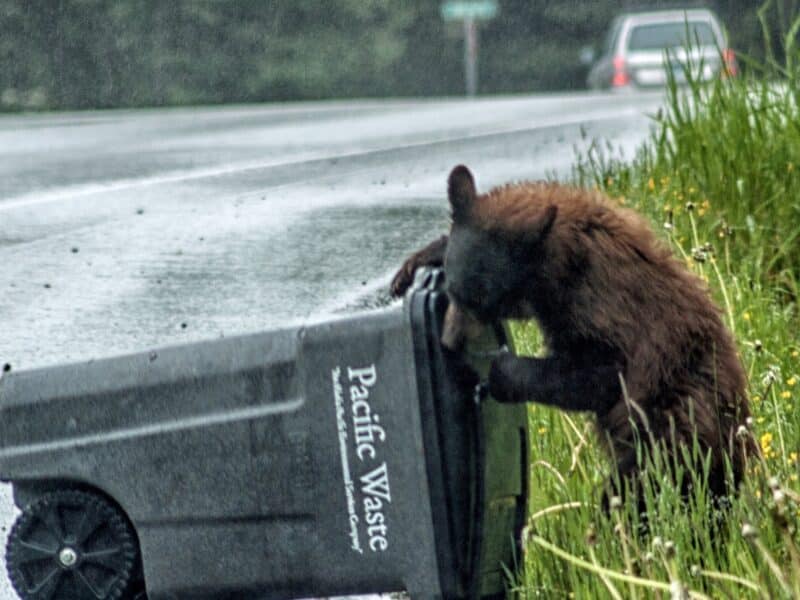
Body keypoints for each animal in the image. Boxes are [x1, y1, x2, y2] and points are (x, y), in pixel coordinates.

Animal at [391, 165, 754, 511]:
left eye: (482, 301)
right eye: (453, 290)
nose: (449, 341)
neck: (559, 265)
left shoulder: (601, 311)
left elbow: (595, 374)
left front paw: (500, 372)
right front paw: (415, 263)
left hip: (670, 433)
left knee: (637, 491)